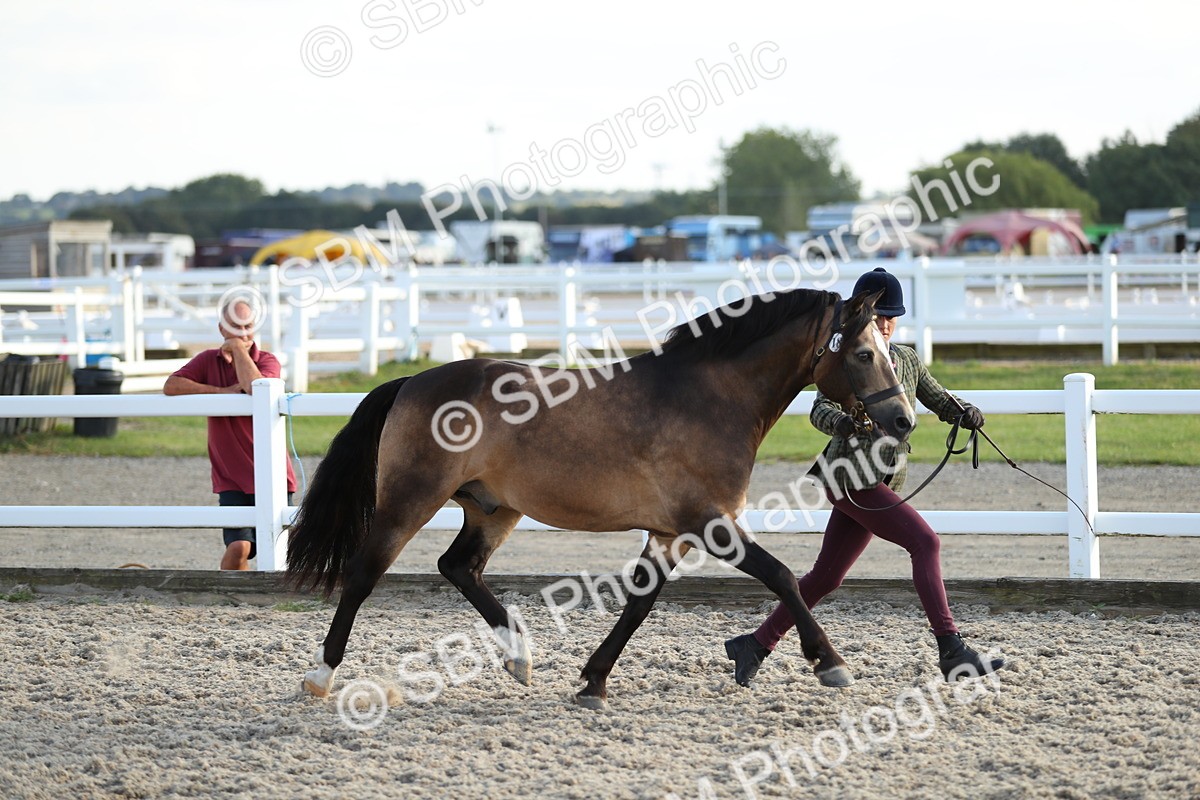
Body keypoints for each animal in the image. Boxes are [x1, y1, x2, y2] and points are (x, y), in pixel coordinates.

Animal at [286, 287, 916, 709]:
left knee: (458, 566)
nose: (903, 420)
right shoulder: (709, 523)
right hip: (410, 499)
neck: (709, 397)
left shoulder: (670, 533)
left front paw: (593, 681)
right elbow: (784, 576)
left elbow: (639, 604)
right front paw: (830, 663)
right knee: (364, 573)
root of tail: (411, 382)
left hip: (494, 508)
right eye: (863, 353)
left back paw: (519, 657)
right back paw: (321, 676)